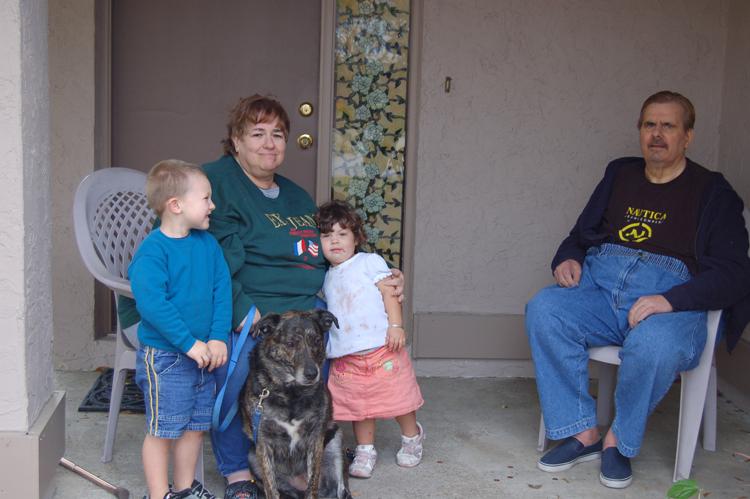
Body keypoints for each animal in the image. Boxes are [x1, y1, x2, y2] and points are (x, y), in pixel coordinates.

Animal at [239, 308, 354, 499]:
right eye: (290, 344)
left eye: (316, 341)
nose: (312, 374)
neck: (291, 393)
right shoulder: (263, 443)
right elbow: (271, 489)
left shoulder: (315, 439)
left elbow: (312, 485)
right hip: (252, 457)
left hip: (336, 441)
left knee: (341, 490)